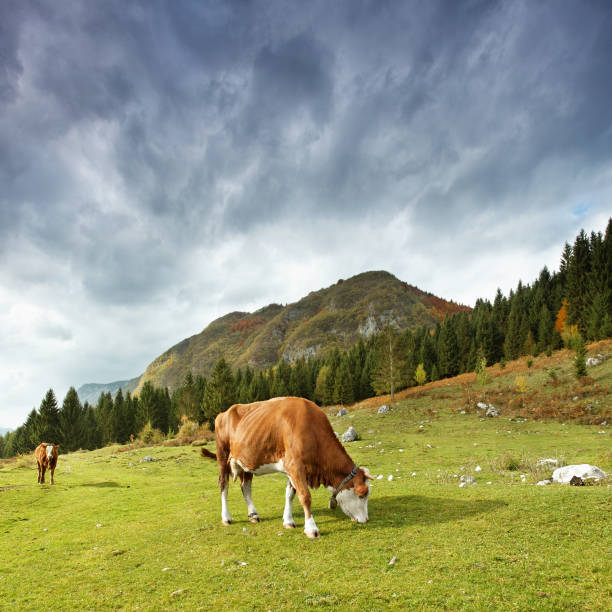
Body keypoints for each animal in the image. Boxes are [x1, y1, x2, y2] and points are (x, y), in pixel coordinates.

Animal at [200, 396, 368, 536]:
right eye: (363, 494)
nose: (366, 519)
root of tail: (223, 413)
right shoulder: (295, 465)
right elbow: (305, 496)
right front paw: (311, 528)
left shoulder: (294, 468)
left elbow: (290, 494)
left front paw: (288, 521)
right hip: (222, 454)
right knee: (224, 484)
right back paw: (226, 517)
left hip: (247, 459)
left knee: (245, 486)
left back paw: (253, 515)